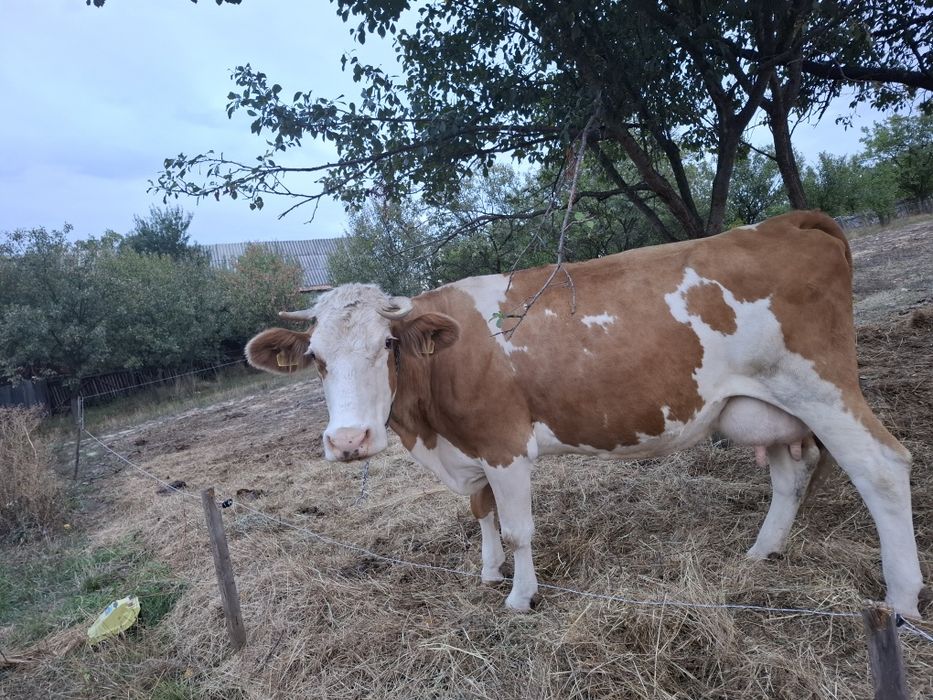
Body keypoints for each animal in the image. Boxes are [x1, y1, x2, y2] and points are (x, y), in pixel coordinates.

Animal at [245, 210, 924, 617]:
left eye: (386, 345)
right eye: (314, 357)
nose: (348, 440)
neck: (432, 432)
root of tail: (786, 221)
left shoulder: (504, 443)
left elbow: (517, 528)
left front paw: (520, 596)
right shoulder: (471, 451)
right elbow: (481, 514)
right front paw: (488, 573)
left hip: (821, 387)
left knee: (883, 466)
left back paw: (901, 599)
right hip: (758, 404)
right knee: (789, 475)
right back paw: (761, 553)